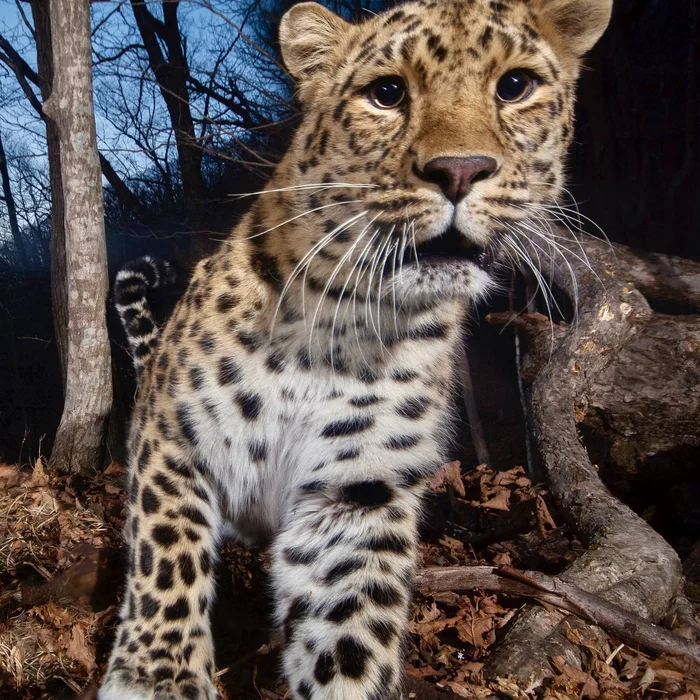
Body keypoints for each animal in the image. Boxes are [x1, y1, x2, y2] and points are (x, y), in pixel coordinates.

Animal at [98, 2, 612, 696]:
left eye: (514, 86)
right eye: (387, 93)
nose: (460, 170)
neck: (340, 324)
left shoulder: (356, 489)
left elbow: (347, 626)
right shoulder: (175, 438)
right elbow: (166, 550)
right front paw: (159, 674)